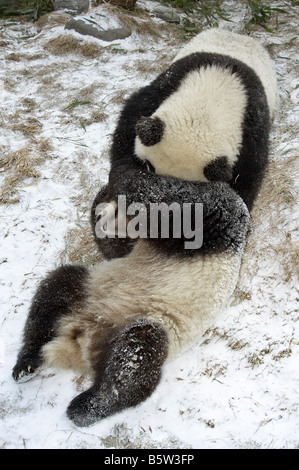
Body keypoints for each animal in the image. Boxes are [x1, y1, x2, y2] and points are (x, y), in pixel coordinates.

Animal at [12, 28, 278, 426]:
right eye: (149, 165)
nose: (114, 214)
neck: (216, 92)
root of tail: (80, 341)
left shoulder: (224, 204)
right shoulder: (167, 86)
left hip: (153, 321)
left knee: (137, 356)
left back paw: (89, 405)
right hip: (90, 286)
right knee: (54, 292)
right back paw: (27, 362)